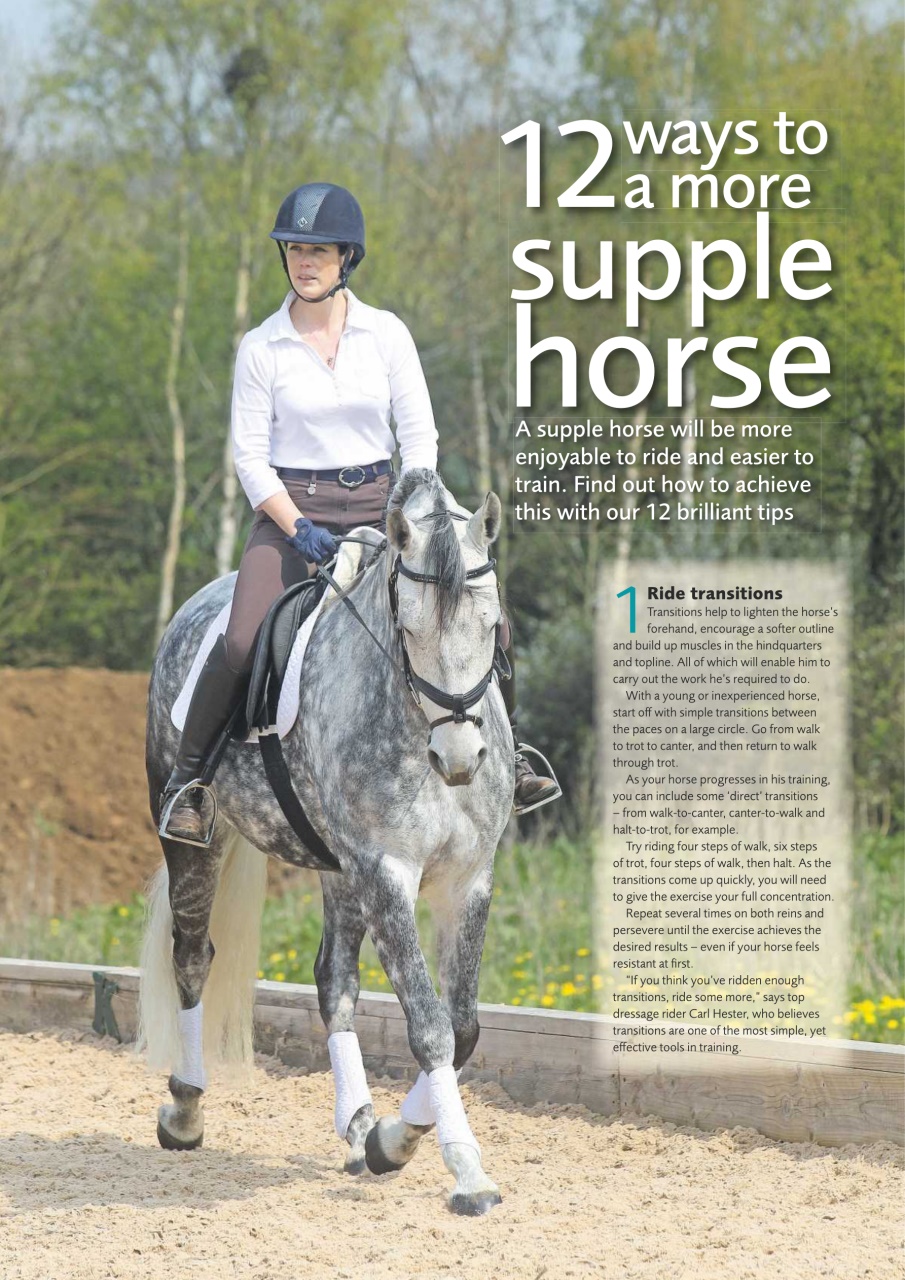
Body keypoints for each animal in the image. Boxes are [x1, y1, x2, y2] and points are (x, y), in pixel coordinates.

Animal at [138, 468, 513, 1215]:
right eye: (408, 629)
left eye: (492, 627)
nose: (459, 759)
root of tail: (199, 602)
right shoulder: (387, 872)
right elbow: (429, 1025)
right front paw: (465, 1171)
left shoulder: (467, 880)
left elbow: (461, 1026)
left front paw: (391, 1139)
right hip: (202, 839)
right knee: (192, 957)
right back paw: (186, 1111)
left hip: (341, 871)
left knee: (333, 980)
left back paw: (359, 1124)